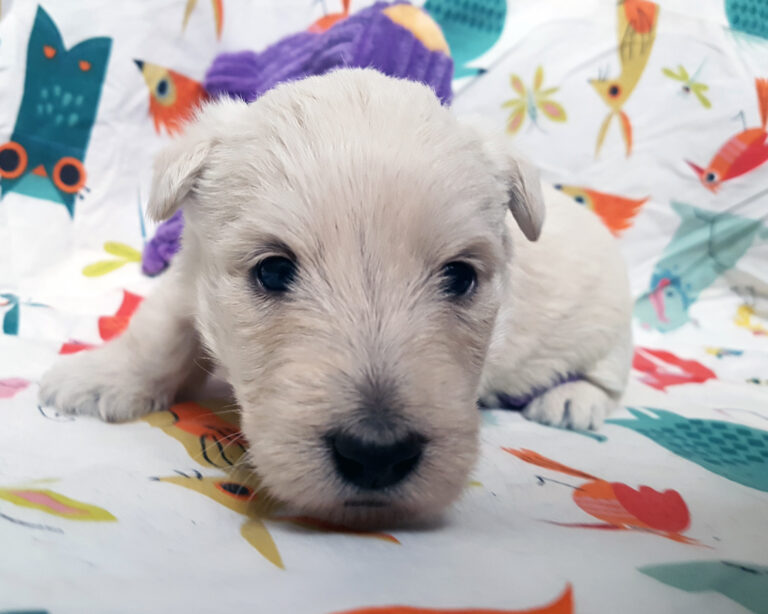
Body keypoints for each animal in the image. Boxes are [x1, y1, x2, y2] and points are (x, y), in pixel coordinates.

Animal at [39, 70, 632, 528]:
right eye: (274, 270)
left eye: (460, 277)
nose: (377, 457)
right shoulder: (192, 276)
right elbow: (160, 330)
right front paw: (96, 378)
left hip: (609, 321)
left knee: (610, 375)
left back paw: (572, 399)